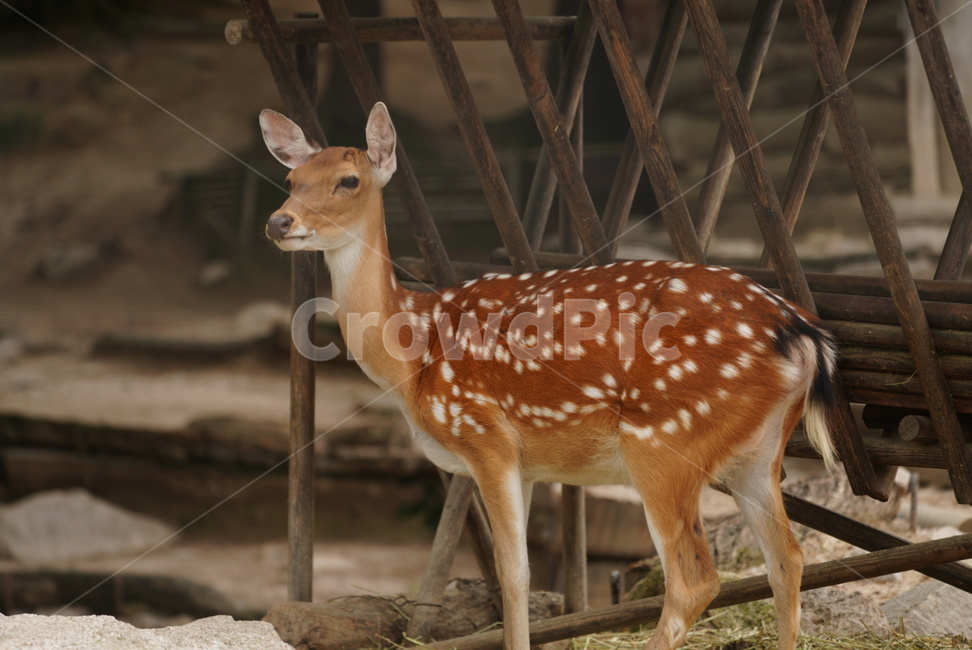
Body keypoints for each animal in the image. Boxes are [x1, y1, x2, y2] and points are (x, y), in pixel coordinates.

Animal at [259, 102, 839, 650]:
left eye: (348, 180)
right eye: (291, 180)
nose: (279, 222)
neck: (414, 357)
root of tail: (803, 335)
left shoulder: (485, 436)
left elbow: (513, 573)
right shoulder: (527, 463)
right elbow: (517, 575)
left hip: (665, 441)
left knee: (694, 579)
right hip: (757, 452)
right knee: (788, 558)